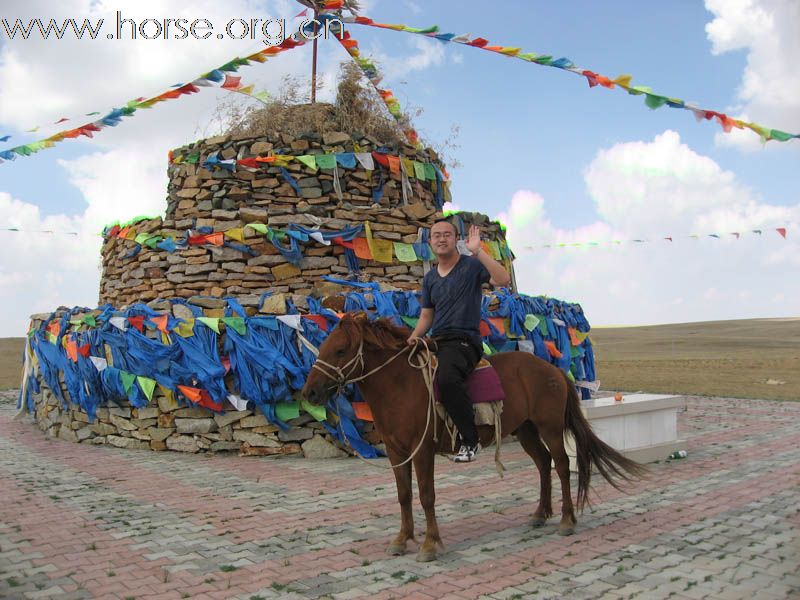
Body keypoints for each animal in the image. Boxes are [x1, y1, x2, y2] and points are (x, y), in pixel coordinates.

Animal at [300, 314, 644, 564]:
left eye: (340, 350)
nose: (310, 393)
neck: (400, 384)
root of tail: (553, 370)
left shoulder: (421, 451)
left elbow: (426, 496)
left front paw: (430, 544)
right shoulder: (398, 453)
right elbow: (404, 496)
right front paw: (402, 539)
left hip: (549, 428)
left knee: (560, 465)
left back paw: (566, 520)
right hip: (526, 431)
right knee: (543, 465)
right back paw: (539, 515)